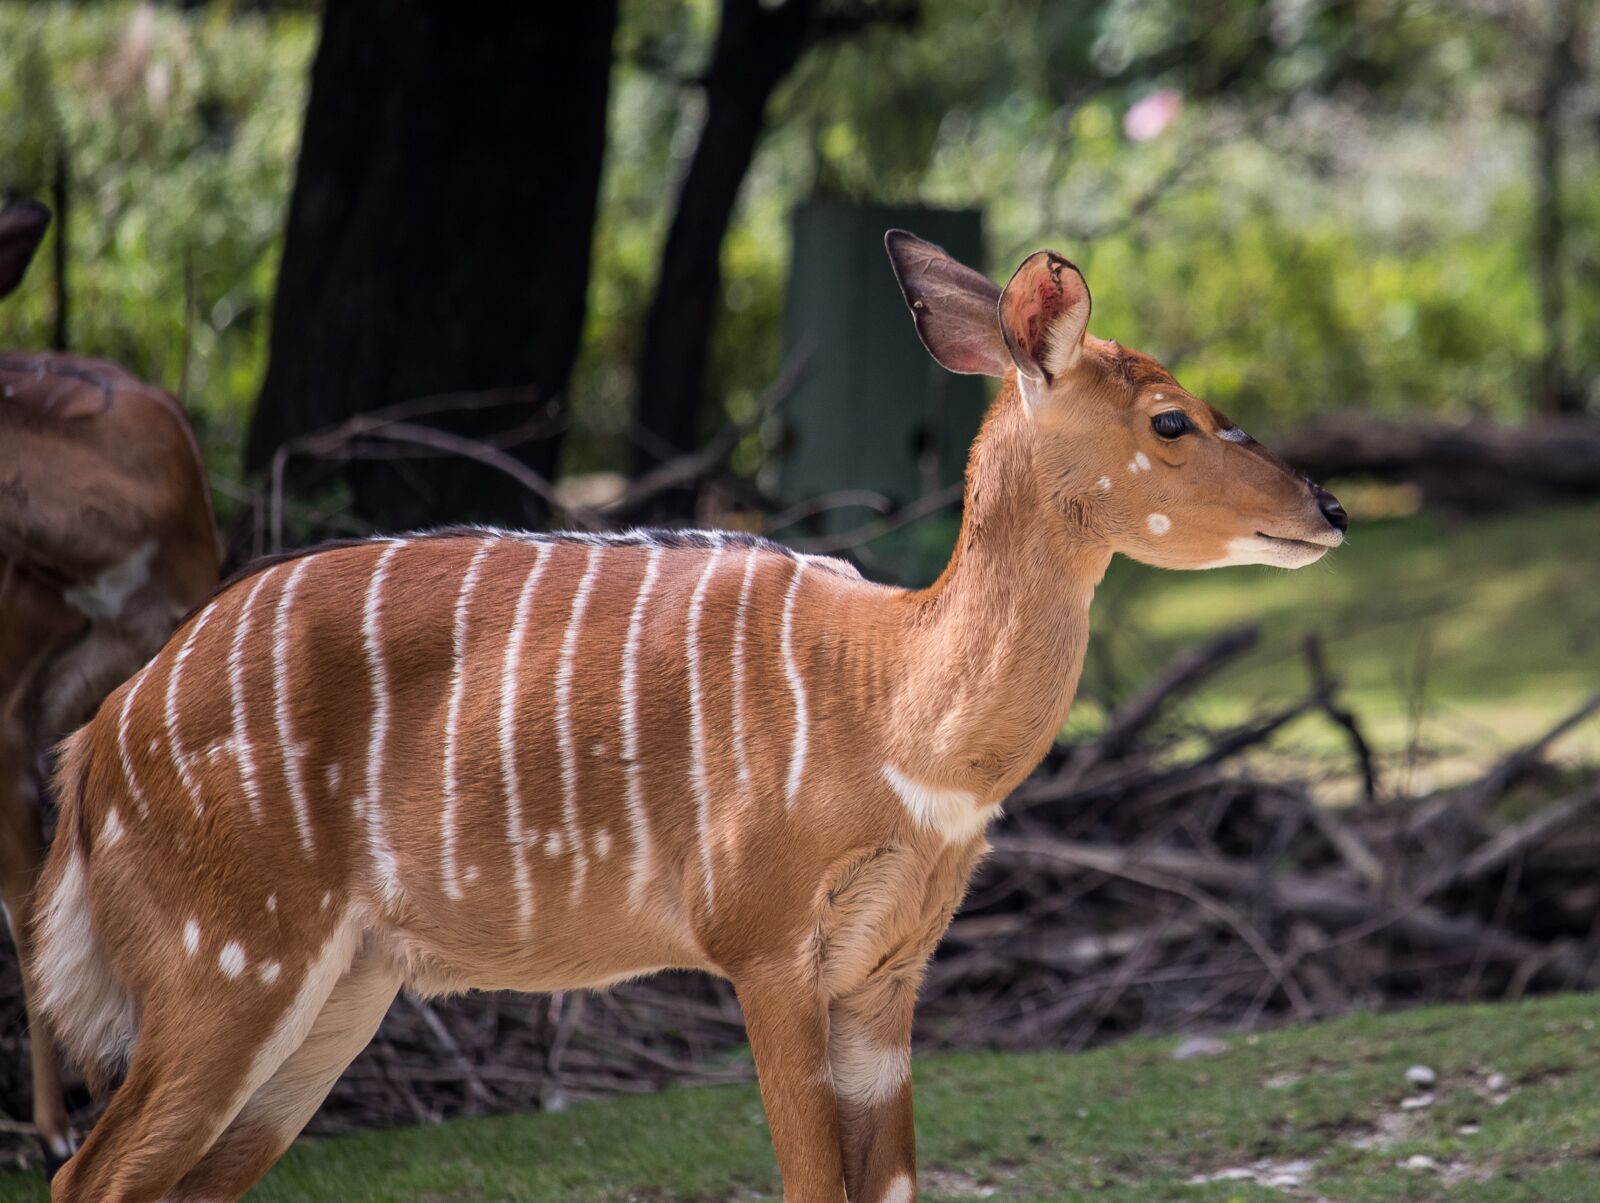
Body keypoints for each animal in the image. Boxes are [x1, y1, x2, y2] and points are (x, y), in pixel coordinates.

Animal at [32, 229, 1347, 1203]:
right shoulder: (765, 948)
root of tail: (97, 743)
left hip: (336, 994)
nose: (1328, 508)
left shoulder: (889, 974)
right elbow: (812, 1187)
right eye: (1170, 419)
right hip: (227, 965)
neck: (897, 713)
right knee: (88, 1176)